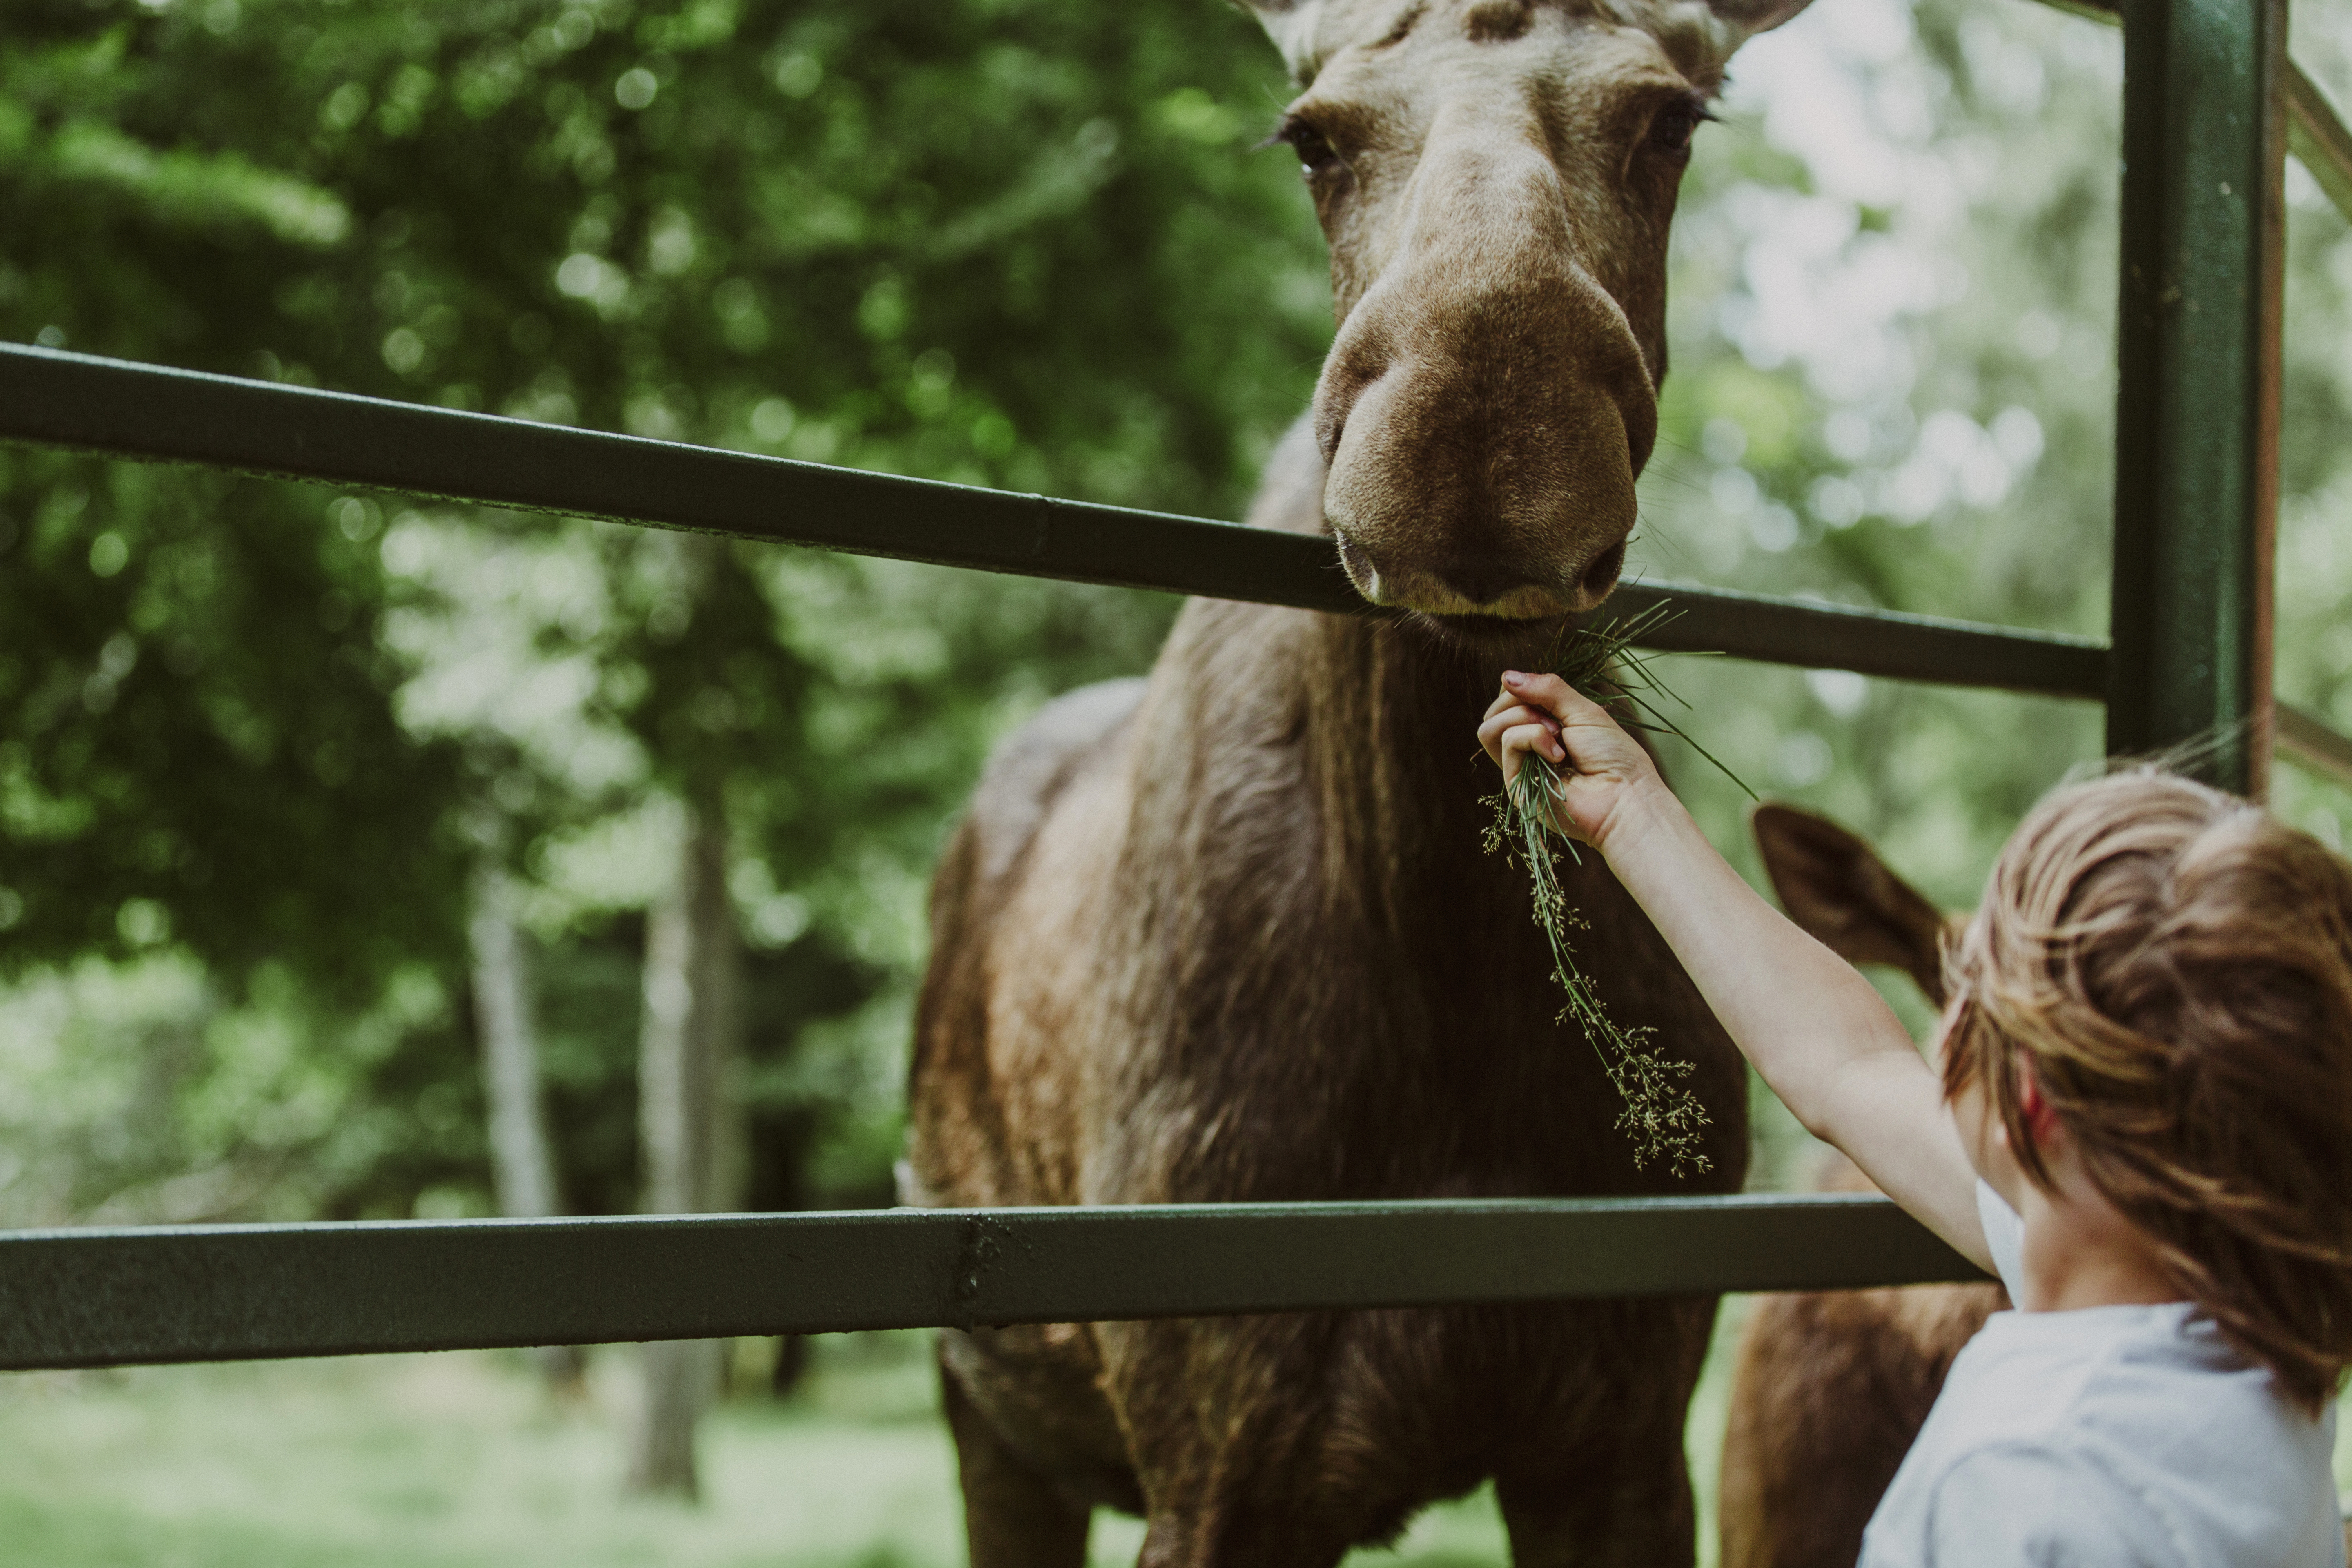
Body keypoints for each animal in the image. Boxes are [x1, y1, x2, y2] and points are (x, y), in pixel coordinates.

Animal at [903, 2, 1817, 1565]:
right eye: (1311, 137)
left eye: (1670, 120)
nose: (1484, 426)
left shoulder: (1626, 1428)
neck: (1442, 965)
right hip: (989, 1416)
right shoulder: (1218, 1457)